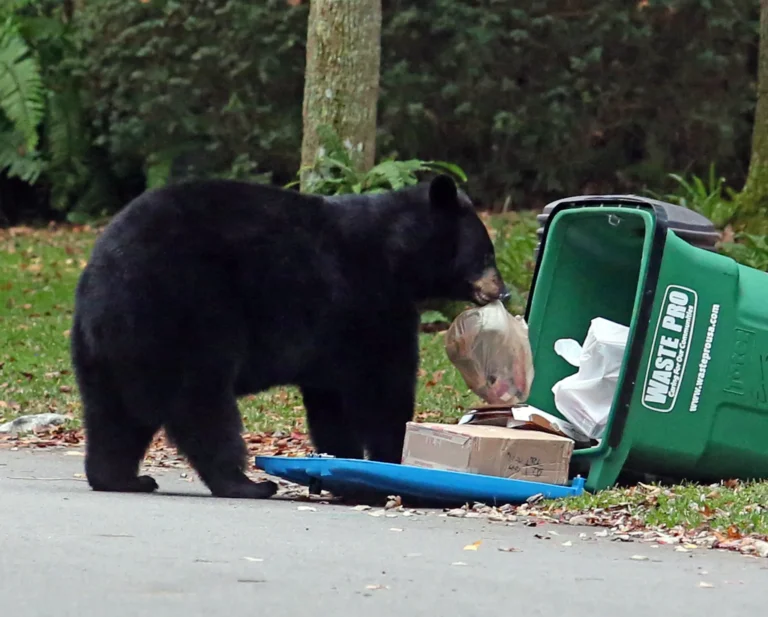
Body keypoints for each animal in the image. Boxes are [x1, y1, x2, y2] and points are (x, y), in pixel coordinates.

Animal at [70, 174, 509, 499]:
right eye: (487, 254)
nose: (502, 290)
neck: (396, 254)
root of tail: (105, 283)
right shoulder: (370, 304)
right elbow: (382, 387)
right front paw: (388, 460)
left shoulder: (332, 340)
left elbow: (331, 402)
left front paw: (344, 466)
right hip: (189, 314)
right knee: (203, 406)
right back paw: (246, 483)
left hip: (105, 352)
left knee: (113, 415)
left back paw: (121, 478)